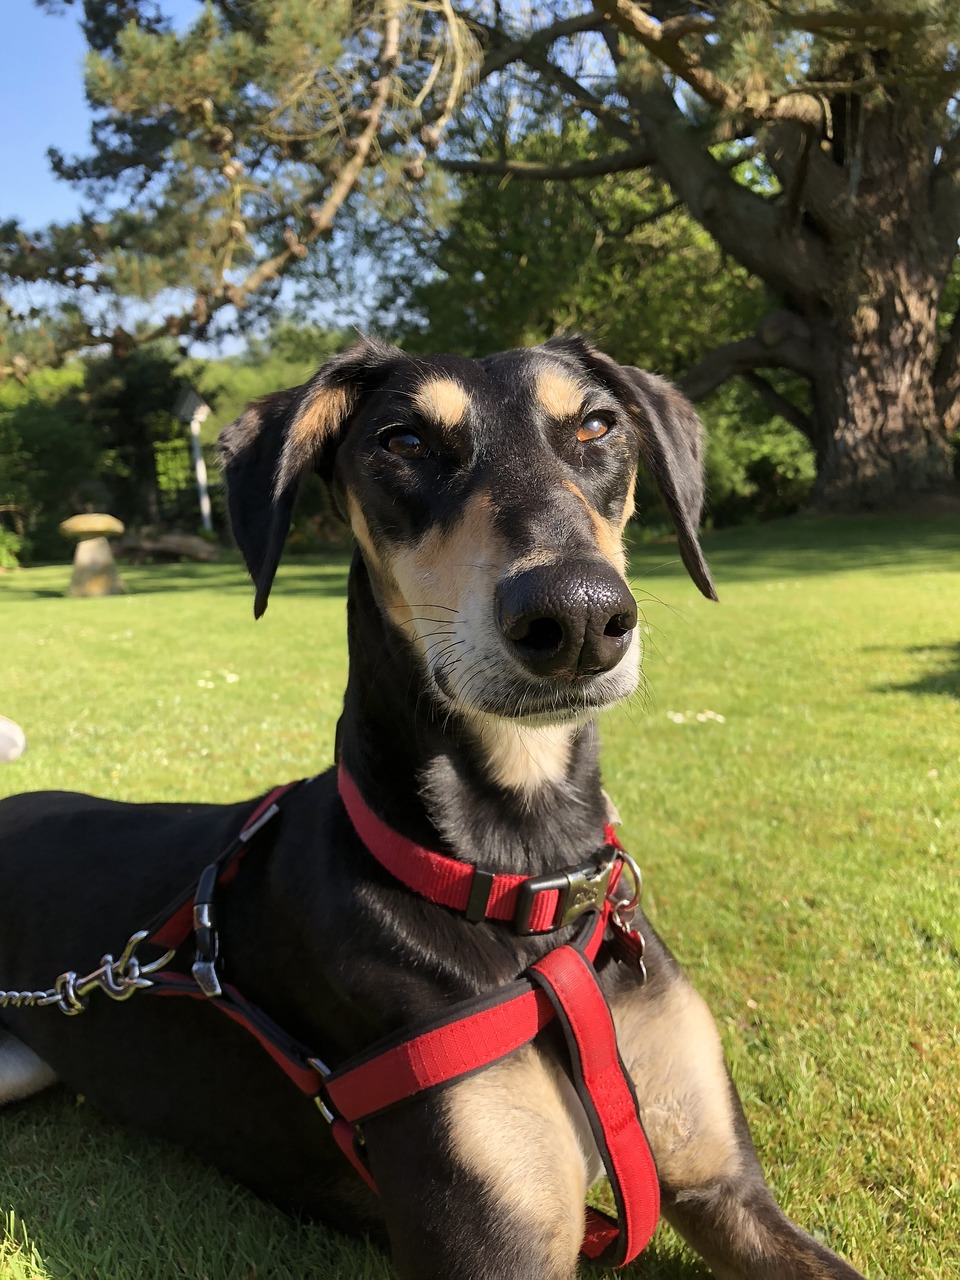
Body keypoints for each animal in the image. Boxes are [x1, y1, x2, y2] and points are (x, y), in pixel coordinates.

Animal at [0, 335, 870, 1274]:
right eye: (405, 441)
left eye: (598, 425)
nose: (576, 616)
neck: (521, 882)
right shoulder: (493, 1245)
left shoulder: (727, 1190)